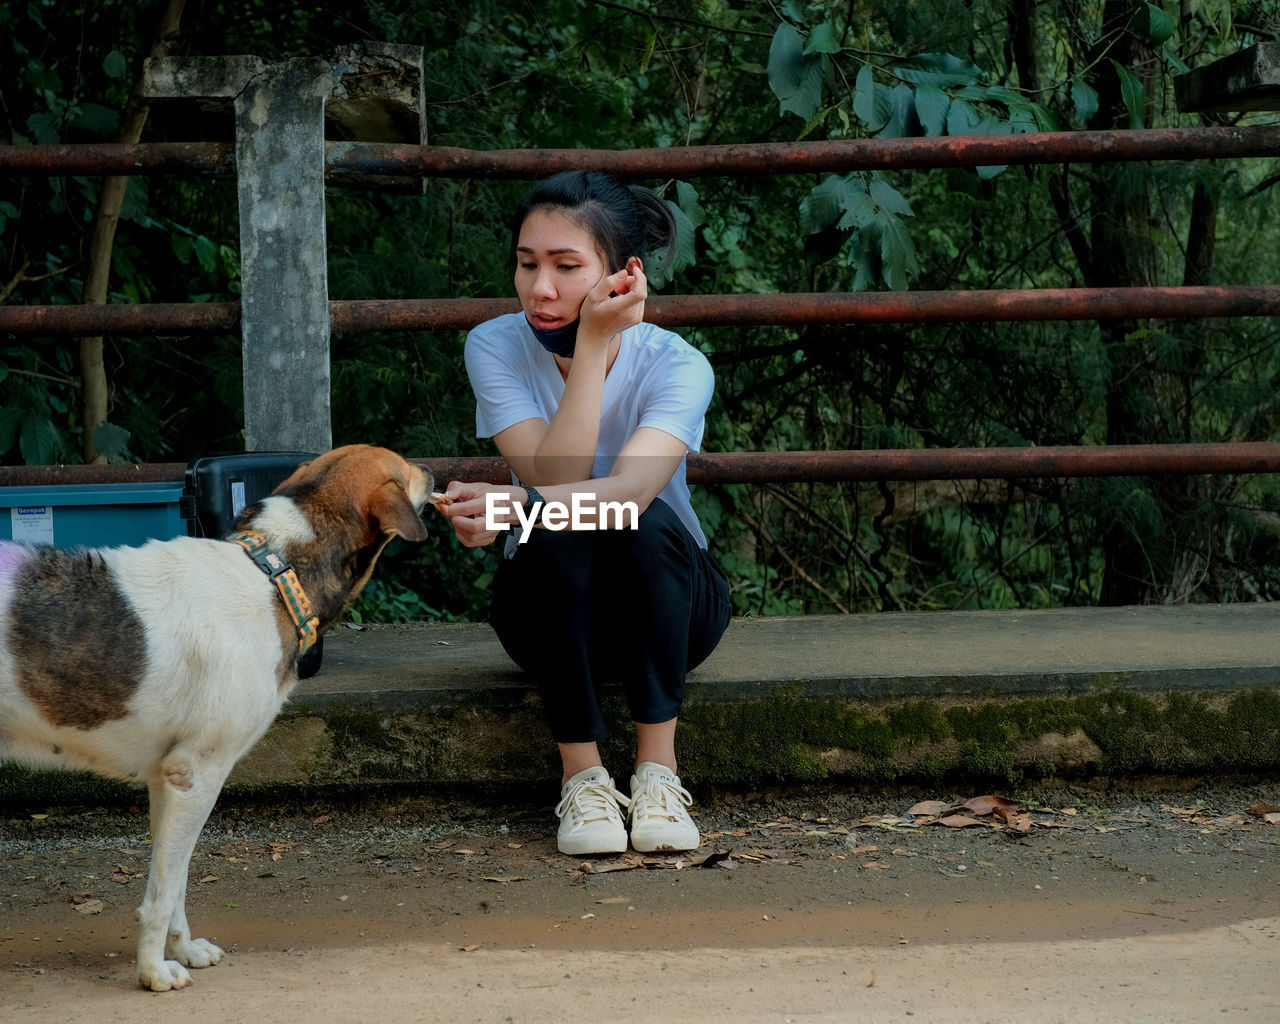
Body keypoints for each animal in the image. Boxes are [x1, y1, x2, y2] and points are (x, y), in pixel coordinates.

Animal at [0, 442, 430, 988]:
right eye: (407, 468)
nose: (433, 469)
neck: (273, 574)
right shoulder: (198, 776)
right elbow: (163, 894)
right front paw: (153, 971)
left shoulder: (167, 781)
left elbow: (176, 882)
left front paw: (181, 949)